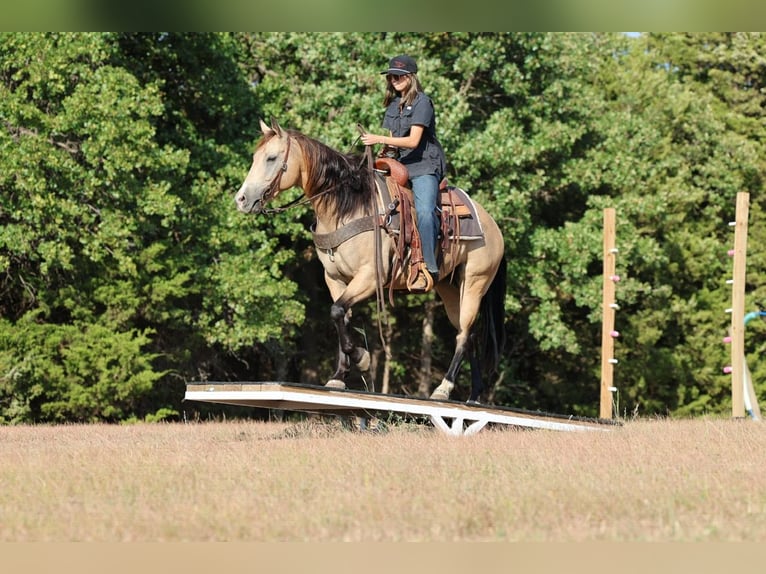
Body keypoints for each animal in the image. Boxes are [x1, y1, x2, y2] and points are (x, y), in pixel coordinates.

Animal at [235, 118, 506, 403]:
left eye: (271, 158)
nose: (241, 200)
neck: (348, 206)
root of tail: (492, 225)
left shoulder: (370, 277)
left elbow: (336, 312)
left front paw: (362, 359)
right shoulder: (334, 280)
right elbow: (341, 317)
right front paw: (338, 376)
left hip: (474, 282)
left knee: (464, 334)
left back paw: (443, 388)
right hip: (450, 288)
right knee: (469, 332)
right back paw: (474, 394)